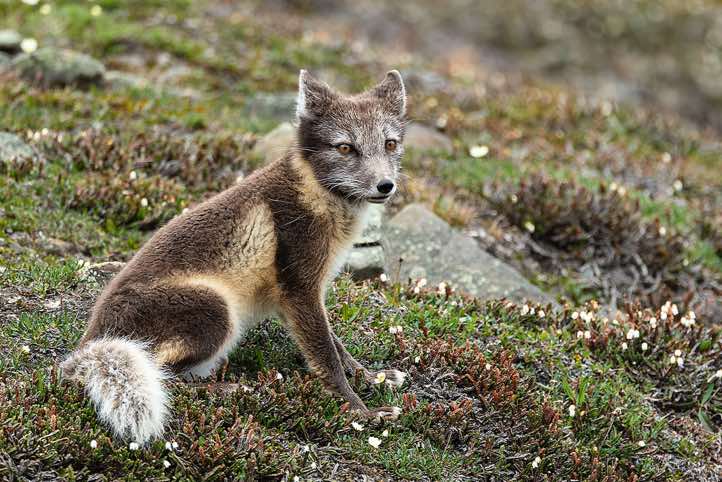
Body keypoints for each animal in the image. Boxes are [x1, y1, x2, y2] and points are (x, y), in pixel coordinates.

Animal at [61, 70, 409, 444]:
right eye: (345, 147)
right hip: (216, 309)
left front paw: (372, 377)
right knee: (166, 376)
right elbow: (326, 357)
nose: (385, 185)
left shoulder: (294, 298)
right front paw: (361, 411)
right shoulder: (300, 288)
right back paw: (233, 389)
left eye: (389, 144)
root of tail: (90, 344)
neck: (315, 192)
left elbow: (336, 346)